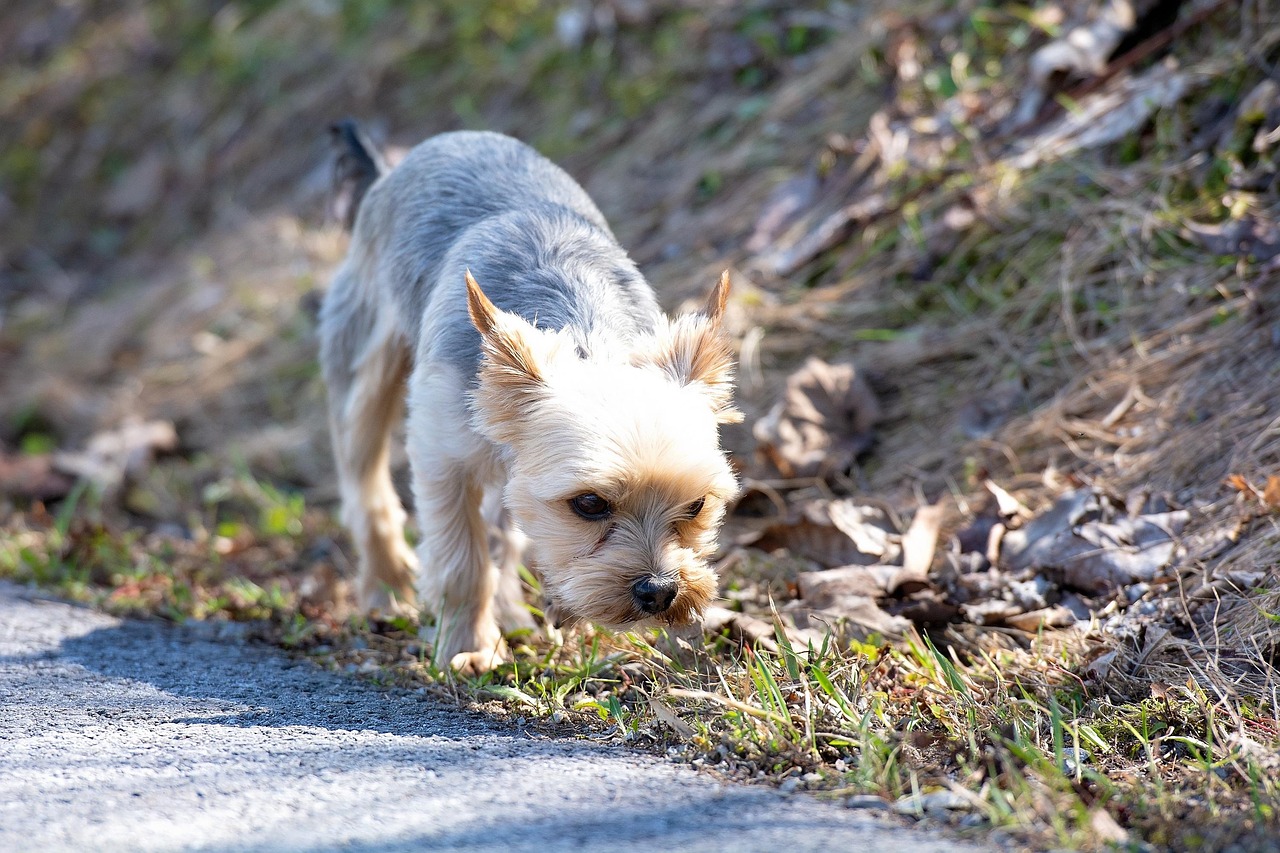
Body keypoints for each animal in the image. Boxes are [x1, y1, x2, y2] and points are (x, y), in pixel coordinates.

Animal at [320, 124, 742, 671]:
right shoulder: (441, 453)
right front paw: (470, 648)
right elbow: (462, 561)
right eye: (589, 503)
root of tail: (389, 169)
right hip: (364, 356)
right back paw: (387, 589)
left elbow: (501, 538)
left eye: (697, 506)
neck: (588, 339)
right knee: (365, 478)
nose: (659, 590)